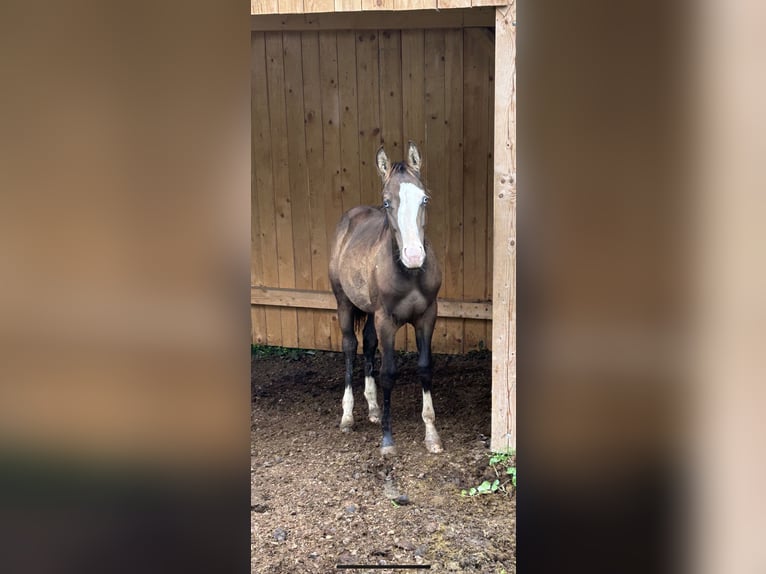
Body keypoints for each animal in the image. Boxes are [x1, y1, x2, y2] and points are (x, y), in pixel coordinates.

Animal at [328, 142, 444, 456]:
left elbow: (425, 368)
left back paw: (373, 409)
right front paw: (388, 441)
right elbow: (388, 373)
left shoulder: (427, 316)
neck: (410, 275)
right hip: (345, 305)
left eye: (425, 199)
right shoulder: (386, 321)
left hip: (369, 312)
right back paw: (347, 416)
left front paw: (432, 435)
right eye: (388, 202)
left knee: (367, 344)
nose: (414, 256)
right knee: (350, 347)